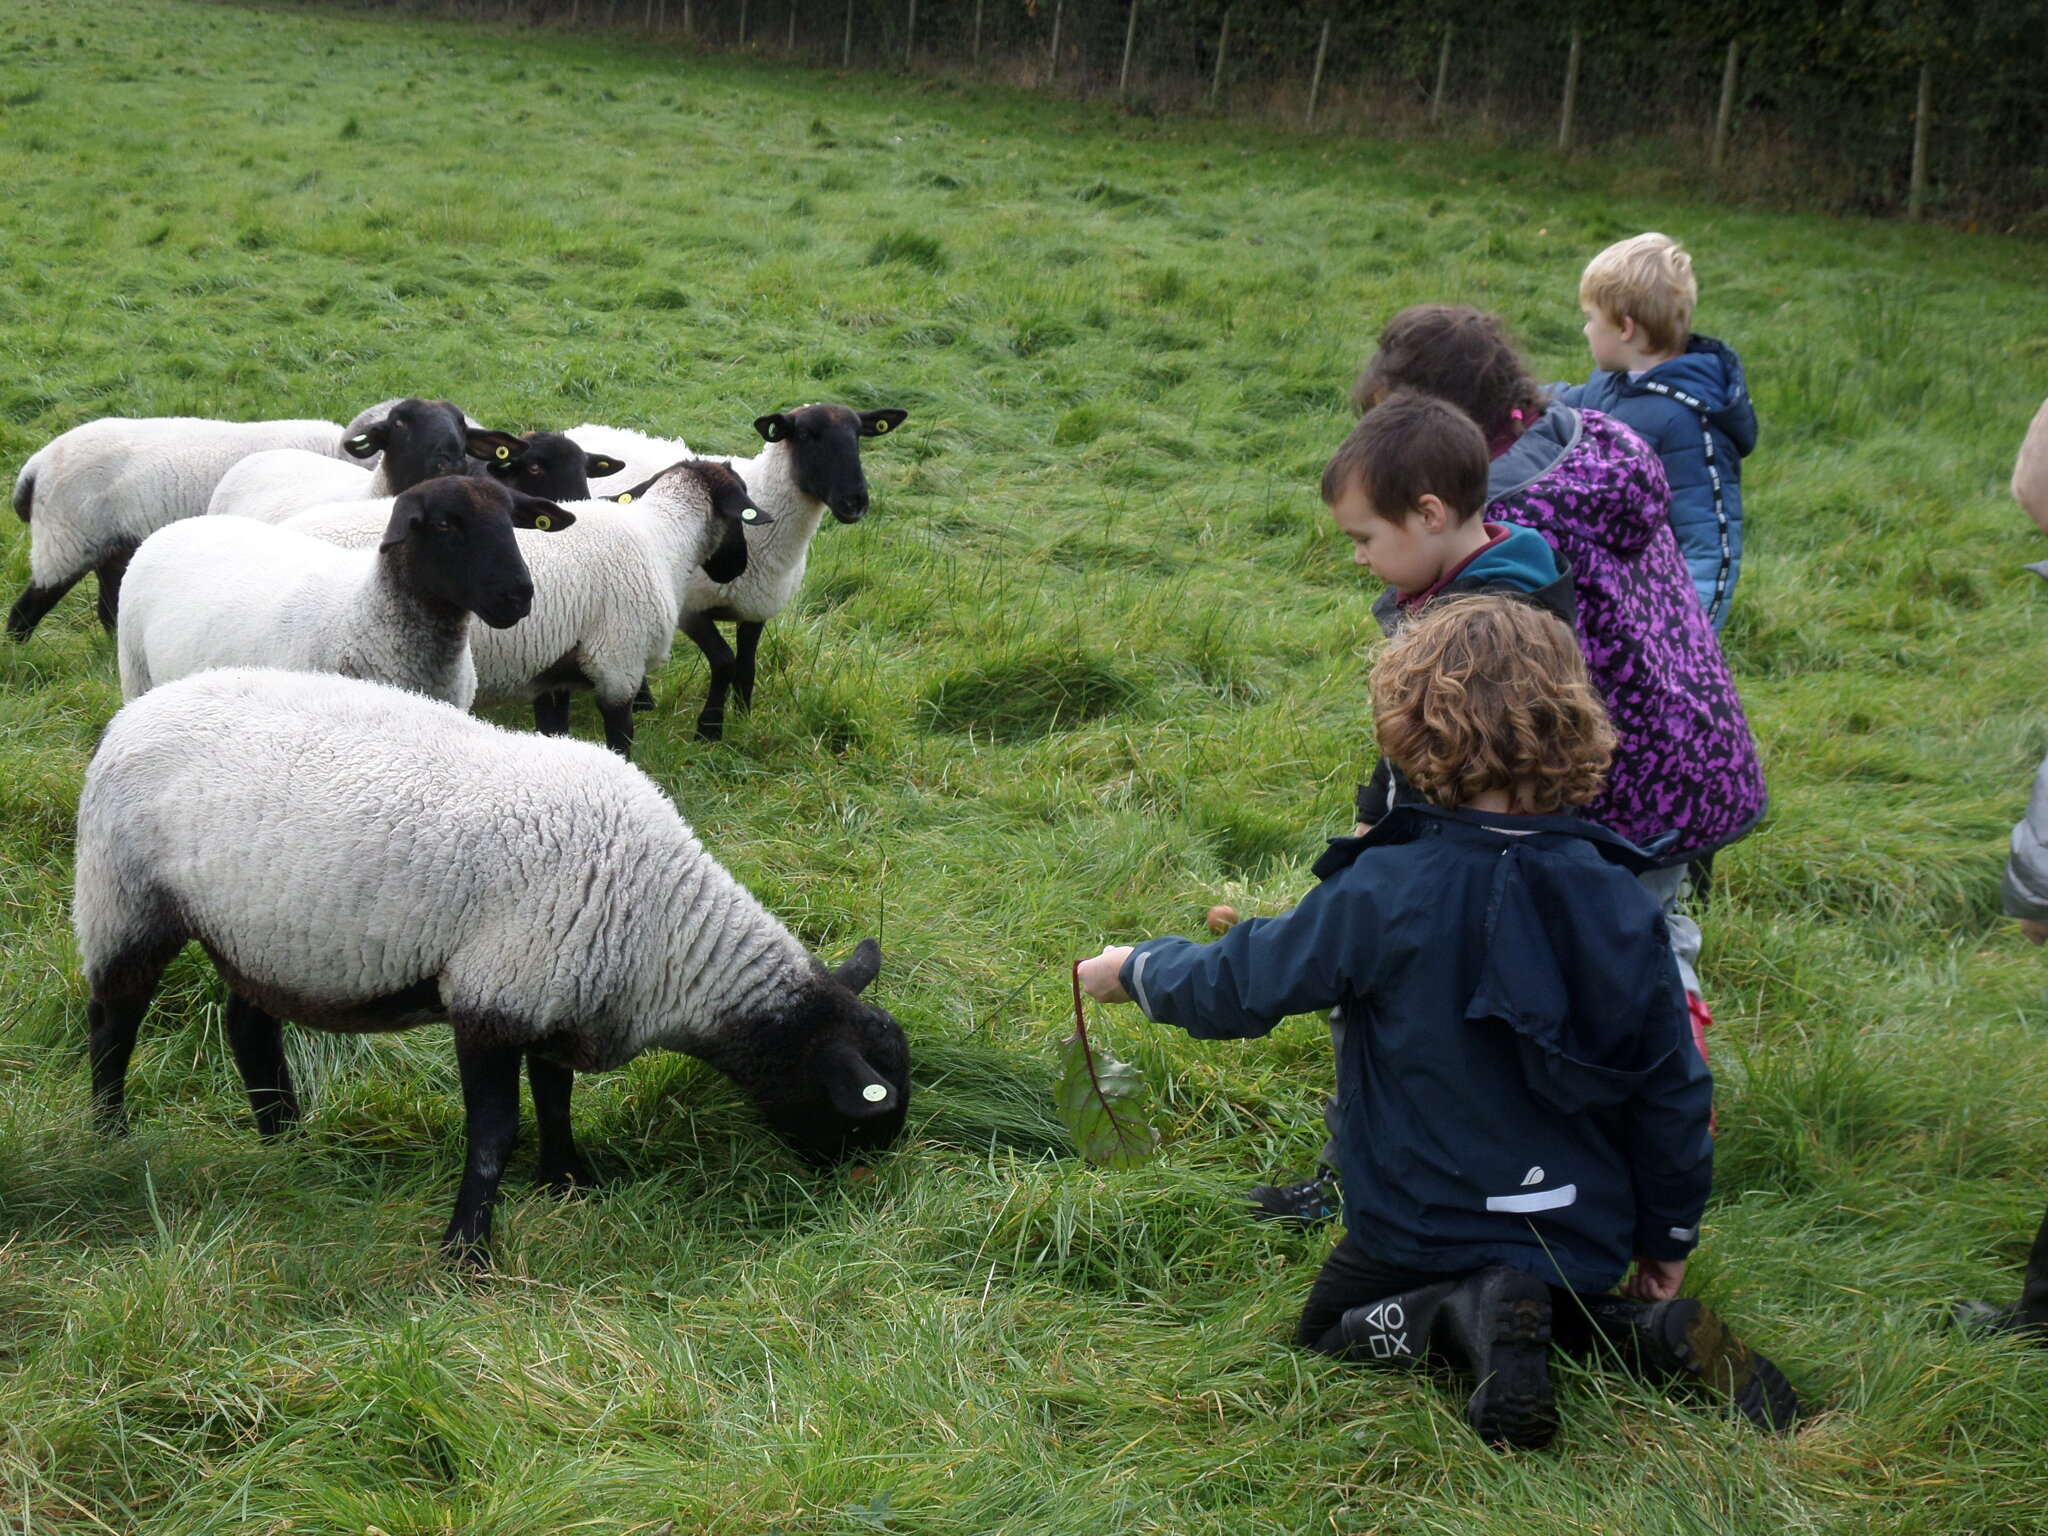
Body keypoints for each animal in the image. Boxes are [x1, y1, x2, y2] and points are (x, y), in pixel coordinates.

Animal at [77, 667, 913, 1269]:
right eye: (865, 1114)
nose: (868, 1188)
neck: (663, 935)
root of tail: (136, 710)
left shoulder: (552, 993)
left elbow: (555, 1095)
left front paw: (570, 1181)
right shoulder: (492, 996)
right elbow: (495, 1135)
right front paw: (466, 1252)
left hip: (264, 935)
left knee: (247, 1026)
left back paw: (284, 1138)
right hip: (125, 898)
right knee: (113, 1022)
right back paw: (110, 1132)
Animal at [284, 462, 765, 765]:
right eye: (741, 516)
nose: (736, 567)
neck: (662, 539)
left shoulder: (554, 672)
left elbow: (555, 729)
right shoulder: (618, 664)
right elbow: (621, 739)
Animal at [573, 405, 909, 741]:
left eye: (858, 436)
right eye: (804, 436)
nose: (855, 502)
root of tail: (585, 427)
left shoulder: (755, 609)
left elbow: (747, 666)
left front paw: (744, 718)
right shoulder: (692, 609)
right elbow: (724, 662)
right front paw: (709, 729)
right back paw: (643, 702)